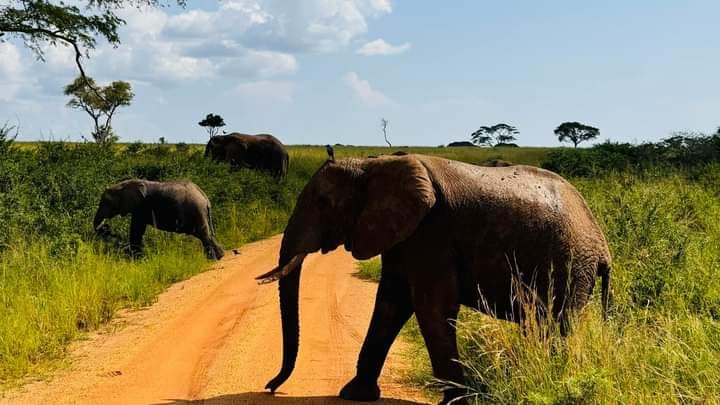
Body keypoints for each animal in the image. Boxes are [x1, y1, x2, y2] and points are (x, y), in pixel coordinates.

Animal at [93, 179, 224, 260]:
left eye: (106, 203)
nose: (107, 228)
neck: (122, 185)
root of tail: (205, 198)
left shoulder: (142, 207)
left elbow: (136, 230)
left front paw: (136, 260)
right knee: (205, 235)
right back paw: (220, 256)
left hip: (196, 211)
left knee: (204, 235)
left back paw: (212, 259)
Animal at [256, 153, 611, 404]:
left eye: (323, 203)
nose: (271, 387)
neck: (372, 164)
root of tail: (601, 243)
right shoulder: (404, 235)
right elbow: (390, 305)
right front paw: (354, 395)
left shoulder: (432, 231)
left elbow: (431, 308)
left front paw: (455, 403)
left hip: (570, 267)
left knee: (555, 327)